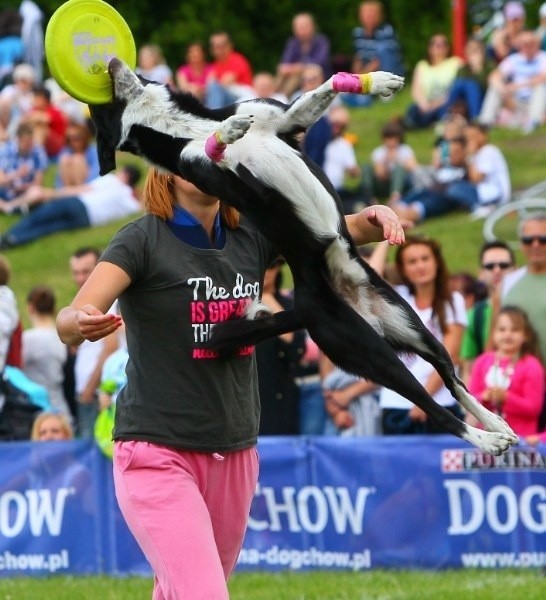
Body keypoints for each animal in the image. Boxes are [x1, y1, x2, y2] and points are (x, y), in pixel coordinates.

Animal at [88, 59, 516, 454]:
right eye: (97, 106)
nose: (110, 61)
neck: (184, 127)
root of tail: (307, 307)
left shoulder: (283, 120)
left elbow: (322, 88)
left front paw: (374, 82)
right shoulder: (239, 188)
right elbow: (218, 152)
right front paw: (226, 133)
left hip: (411, 323)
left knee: (450, 378)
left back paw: (497, 421)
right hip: (367, 350)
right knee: (433, 406)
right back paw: (487, 439)